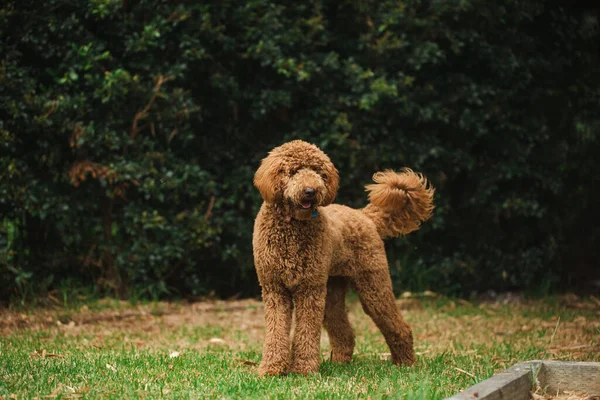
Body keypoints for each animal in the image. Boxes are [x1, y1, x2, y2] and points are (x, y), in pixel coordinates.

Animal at [251, 140, 434, 376]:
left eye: (319, 172)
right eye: (293, 171)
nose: (311, 191)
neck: (292, 226)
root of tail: (365, 216)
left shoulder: (310, 289)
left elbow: (306, 331)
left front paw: (304, 370)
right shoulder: (274, 289)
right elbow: (276, 332)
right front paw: (272, 369)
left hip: (373, 285)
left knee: (398, 325)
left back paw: (405, 363)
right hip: (333, 289)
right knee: (344, 331)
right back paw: (339, 363)